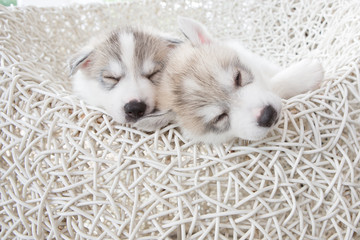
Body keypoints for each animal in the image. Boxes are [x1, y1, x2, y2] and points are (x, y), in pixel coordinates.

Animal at [136, 17, 326, 144]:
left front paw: (304, 74)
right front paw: (305, 75)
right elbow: (274, 85)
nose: (267, 115)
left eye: (238, 78)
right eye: (220, 117)